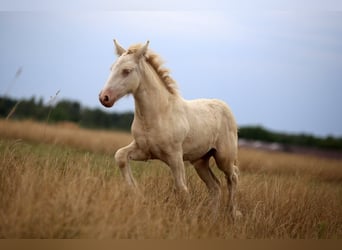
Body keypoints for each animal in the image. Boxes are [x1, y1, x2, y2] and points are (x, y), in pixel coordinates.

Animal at [97, 39, 239, 217]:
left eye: (126, 71)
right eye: (112, 68)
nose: (104, 97)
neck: (158, 115)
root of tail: (225, 107)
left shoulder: (175, 156)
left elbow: (182, 189)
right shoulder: (144, 151)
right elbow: (120, 156)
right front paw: (136, 192)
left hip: (223, 157)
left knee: (232, 177)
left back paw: (234, 214)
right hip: (200, 161)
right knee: (215, 187)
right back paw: (214, 217)